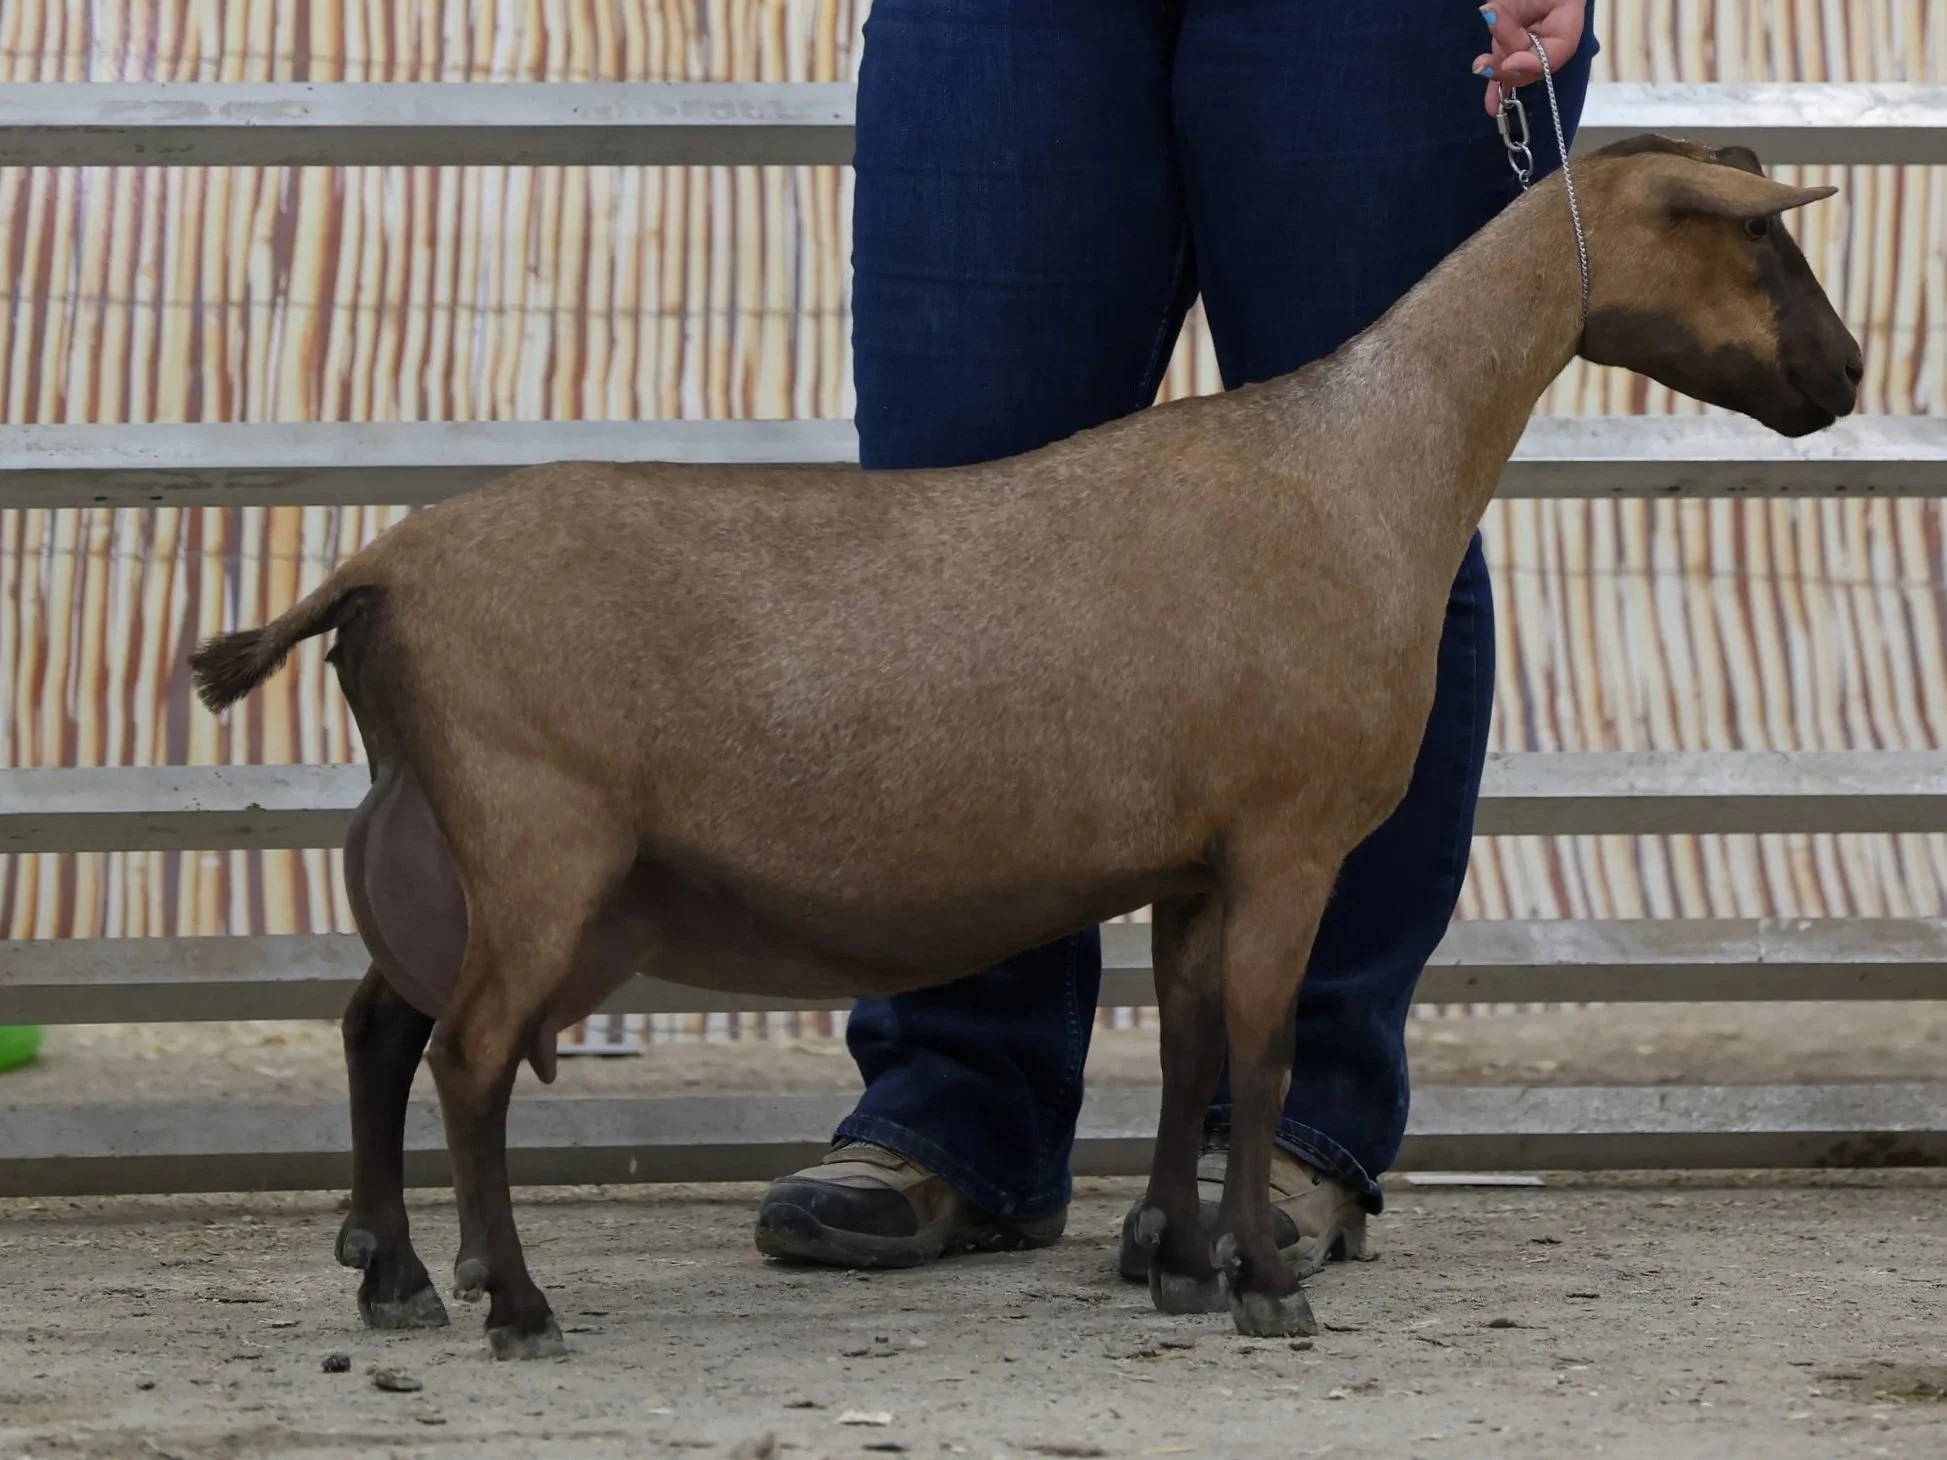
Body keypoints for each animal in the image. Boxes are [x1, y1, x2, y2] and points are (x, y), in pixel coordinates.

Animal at [190, 135, 1861, 1359]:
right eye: (1760, 243)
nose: (1841, 379)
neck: (1361, 468)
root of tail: (377, 572)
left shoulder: (1195, 863)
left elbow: (1186, 1047)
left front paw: (1180, 1264)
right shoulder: (1286, 838)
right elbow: (1255, 1054)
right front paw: (1264, 1287)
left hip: (438, 834)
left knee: (378, 1026)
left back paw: (396, 1277)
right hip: (536, 835)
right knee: (468, 1054)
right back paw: (514, 1302)